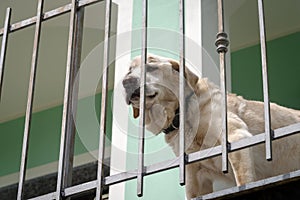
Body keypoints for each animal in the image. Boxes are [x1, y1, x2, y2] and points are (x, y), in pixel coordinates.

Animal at [122, 54, 300, 199]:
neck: (182, 114)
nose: (126, 82)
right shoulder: (193, 173)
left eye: (151, 66)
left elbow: (244, 182)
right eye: (129, 70)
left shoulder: (237, 137)